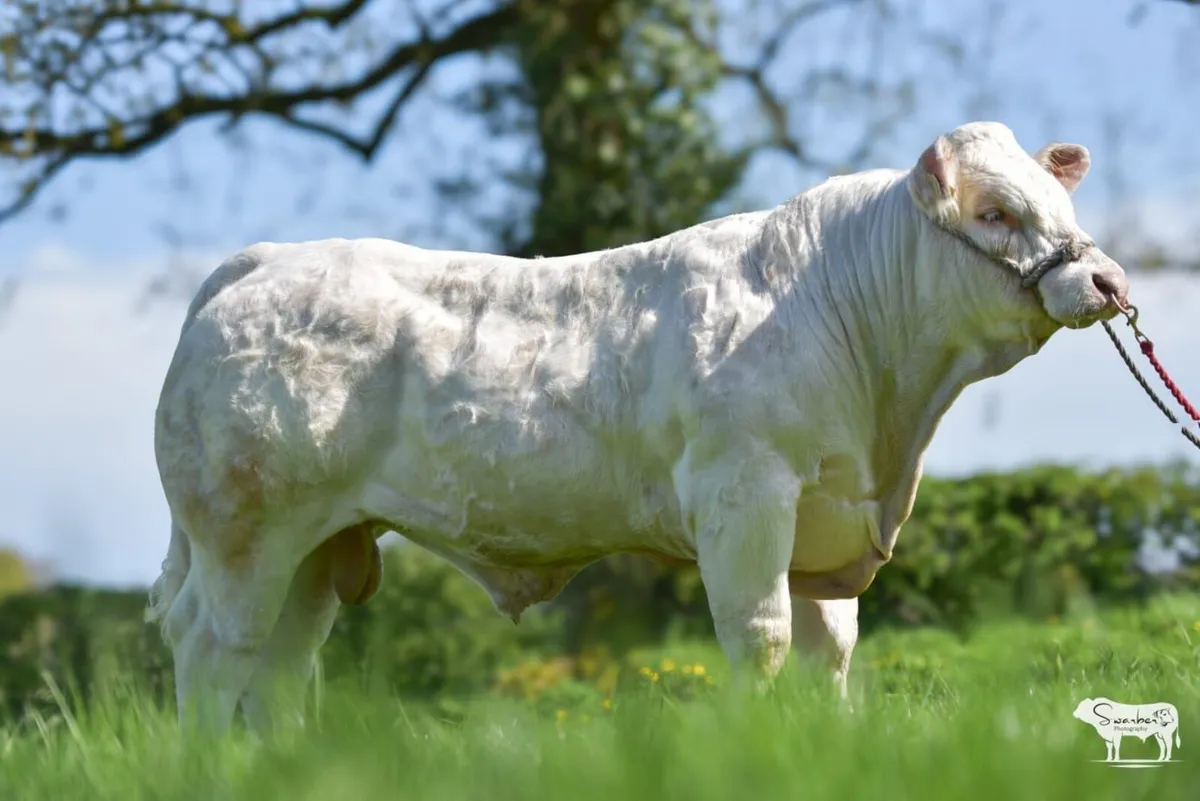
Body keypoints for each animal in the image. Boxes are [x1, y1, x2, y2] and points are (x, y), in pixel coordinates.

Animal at [148, 120, 1129, 736]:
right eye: (996, 212)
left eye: (1062, 204)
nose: (1108, 281)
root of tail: (264, 262)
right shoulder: (747, 494)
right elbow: (762, 637)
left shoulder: (827, 516)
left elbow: (832, 654)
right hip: (245, 533)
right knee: (211, 648)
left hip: (318, 545)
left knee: (279, 665)